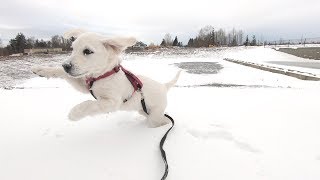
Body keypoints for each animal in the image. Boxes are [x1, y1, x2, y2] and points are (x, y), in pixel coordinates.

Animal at [32, 29, 182, 126]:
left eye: (87, 51)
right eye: (73, 49)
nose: (66, 66)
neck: (101, 76)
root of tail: (164, 86)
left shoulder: (112, 102)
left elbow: (90, 104)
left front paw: (75, 113)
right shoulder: (85, 87)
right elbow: (62, 74)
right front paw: (42, 70)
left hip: (155, 115)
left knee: (160, 121)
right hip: (142, 110)